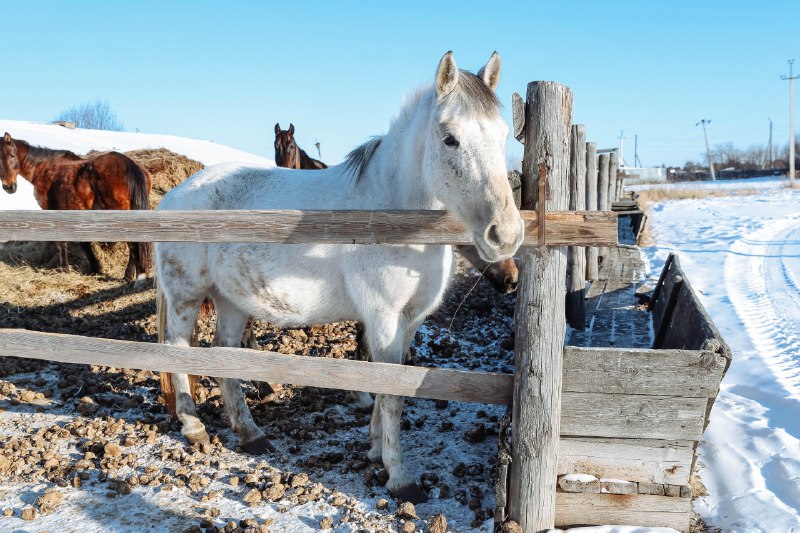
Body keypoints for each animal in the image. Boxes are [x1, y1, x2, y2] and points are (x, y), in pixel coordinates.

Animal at [0, 131, 152, 280]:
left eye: (12, 155)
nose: (8, 187)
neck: (44, 168)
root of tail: (131, 165)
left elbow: (62, 242)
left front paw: (65, 269)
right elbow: (84, 242)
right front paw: (94, 268)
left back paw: (129, 276)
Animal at [155, 51, 524, 502]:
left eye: (503, 135)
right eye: (449, 138)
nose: (505, 235)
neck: (389, 214)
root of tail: (173, 196)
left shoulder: (409, 322)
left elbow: (389, 385)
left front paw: (375, 448)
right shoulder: (383, 317)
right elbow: (391, 392)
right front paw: (400, 478)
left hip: (231, 300)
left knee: (224, 353)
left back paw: (251, 434)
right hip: (186, 295)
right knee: (176, 348)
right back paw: (194, 428)